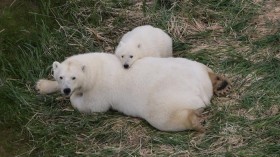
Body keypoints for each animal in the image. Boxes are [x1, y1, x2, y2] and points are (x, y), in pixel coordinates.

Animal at [36, 52, 230, 131]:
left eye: (74, 77)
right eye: (61, 77)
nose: (66, 90)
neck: (96, 67)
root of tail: (200, 89)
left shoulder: (100, 90)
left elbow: (92, 105)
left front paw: (74, 97)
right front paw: (41, 85)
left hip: (166, 99)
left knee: (166, 117)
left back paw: (196, 122)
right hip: (191, 65)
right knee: (204, 68)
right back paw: (220, 83)